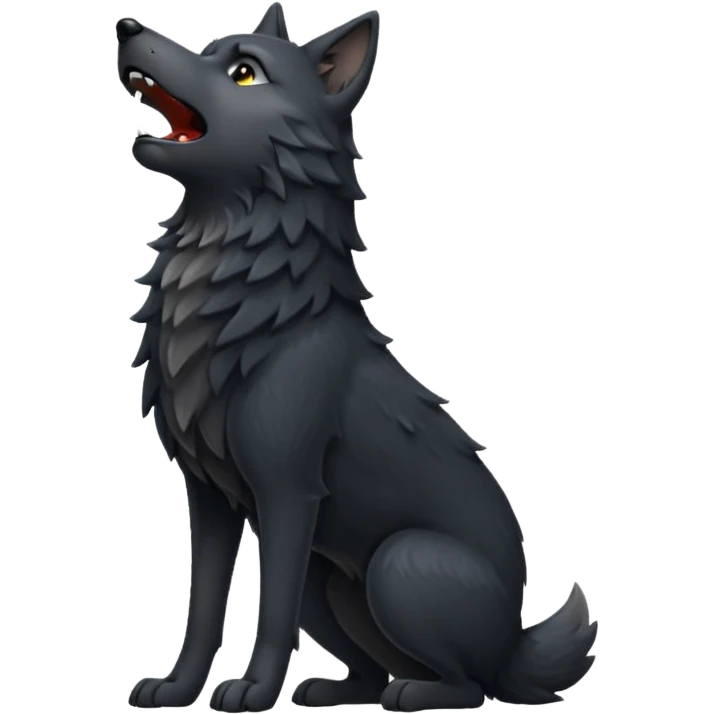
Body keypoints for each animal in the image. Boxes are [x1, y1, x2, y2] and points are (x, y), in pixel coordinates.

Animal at [117, 4, 598, 712]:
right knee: (369, 665)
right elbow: (203, 605)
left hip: (398, 565)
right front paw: (178, 688)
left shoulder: (288, 493)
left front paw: (253, 690)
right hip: (328, 585)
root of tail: (516, 643)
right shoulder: (208, 498)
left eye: (243, 72)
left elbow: (270, 611)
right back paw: (334, 688)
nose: (126, 27)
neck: (245, 302)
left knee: (471, 685)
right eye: (208, 50)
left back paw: (416, 692)